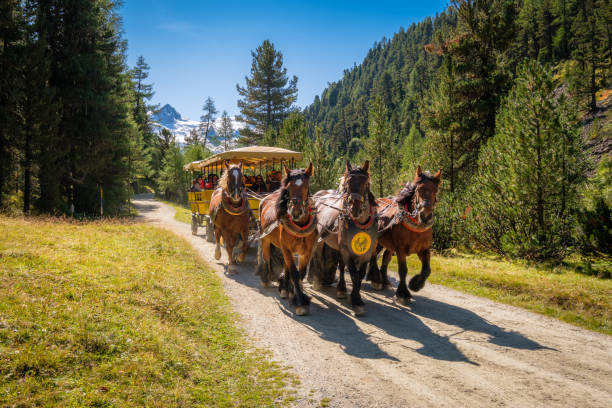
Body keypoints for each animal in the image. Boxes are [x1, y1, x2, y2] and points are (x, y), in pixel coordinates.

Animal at [256, 163, 316, 316]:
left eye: (306, 185)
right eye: (288, 188)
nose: (296, 212)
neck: (299, 226)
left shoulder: (306, 252)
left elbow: (300, 273)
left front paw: (294, 294)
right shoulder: (287, 248)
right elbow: (294, 273)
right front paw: (300, 302)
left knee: (285, 265)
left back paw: (285, 288)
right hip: (266, 240)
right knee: (266, 258)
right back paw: (266, 279)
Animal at [308, 159, 376, 316]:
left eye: (365, 183)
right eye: (347, 183)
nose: (355, 209)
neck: (360, 223)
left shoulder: (367, 253)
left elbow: (360, 275)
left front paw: (354, 296)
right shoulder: (346, 250)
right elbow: (353, 274)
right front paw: (356, 301)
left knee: (340, 264)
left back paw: (340, 288)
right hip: (320, 238)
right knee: (317, 255)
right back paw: (316, 280)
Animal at [366, 165, 442, 302]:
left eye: (436, 190)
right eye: (419, 189)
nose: (425, 216)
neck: (416, 227)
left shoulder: (424, 249)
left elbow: (427, 270)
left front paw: (415, 284)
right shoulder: (400, 249)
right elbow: (403, 270)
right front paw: (403, 293)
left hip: (388, 245)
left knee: (385, 259)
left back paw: (384, 280)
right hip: (376, 239)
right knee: (373, 256)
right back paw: (376, 279)